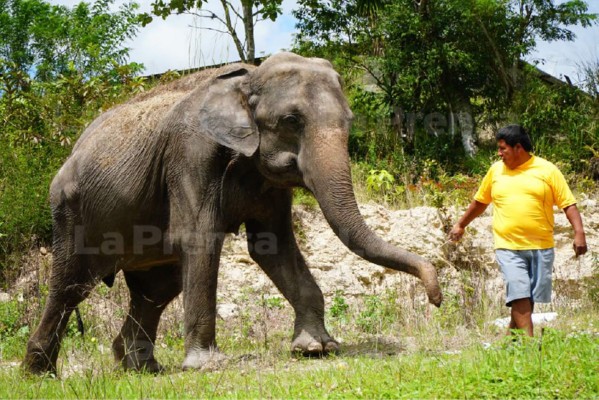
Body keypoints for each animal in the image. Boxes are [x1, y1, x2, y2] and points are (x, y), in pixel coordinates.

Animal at [23, 50, 442, 376]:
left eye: (350, 121)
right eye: (292, 121)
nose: (436, 298)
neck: (248, 78)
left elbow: (272, 246)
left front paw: (316, 348)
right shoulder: (189, 155)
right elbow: (201, 239)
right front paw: (207, 366)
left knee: (155, 289)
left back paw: (141, 368)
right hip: (71, 213)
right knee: (71, 286)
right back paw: (40, 374)